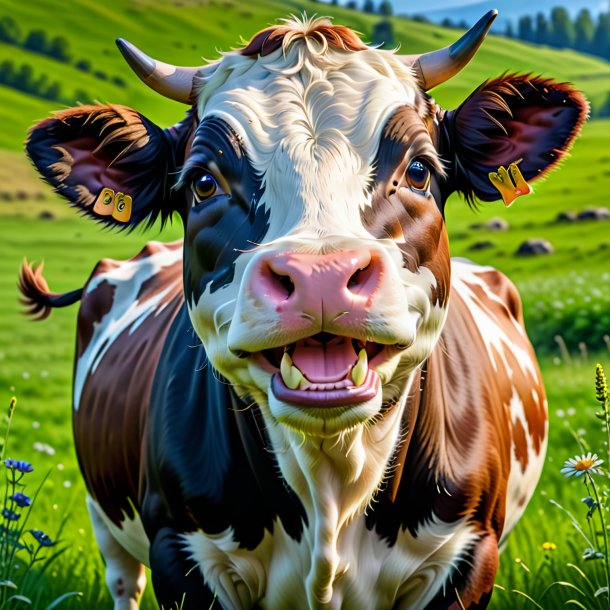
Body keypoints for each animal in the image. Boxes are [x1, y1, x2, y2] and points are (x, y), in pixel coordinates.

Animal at [21, 11, 588, 608]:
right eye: (204, 182)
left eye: (418, 171)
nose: (323, 277)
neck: (330, 484)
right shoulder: (179, 551)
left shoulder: (470, 551)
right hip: (106, 520)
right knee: (122, 581)